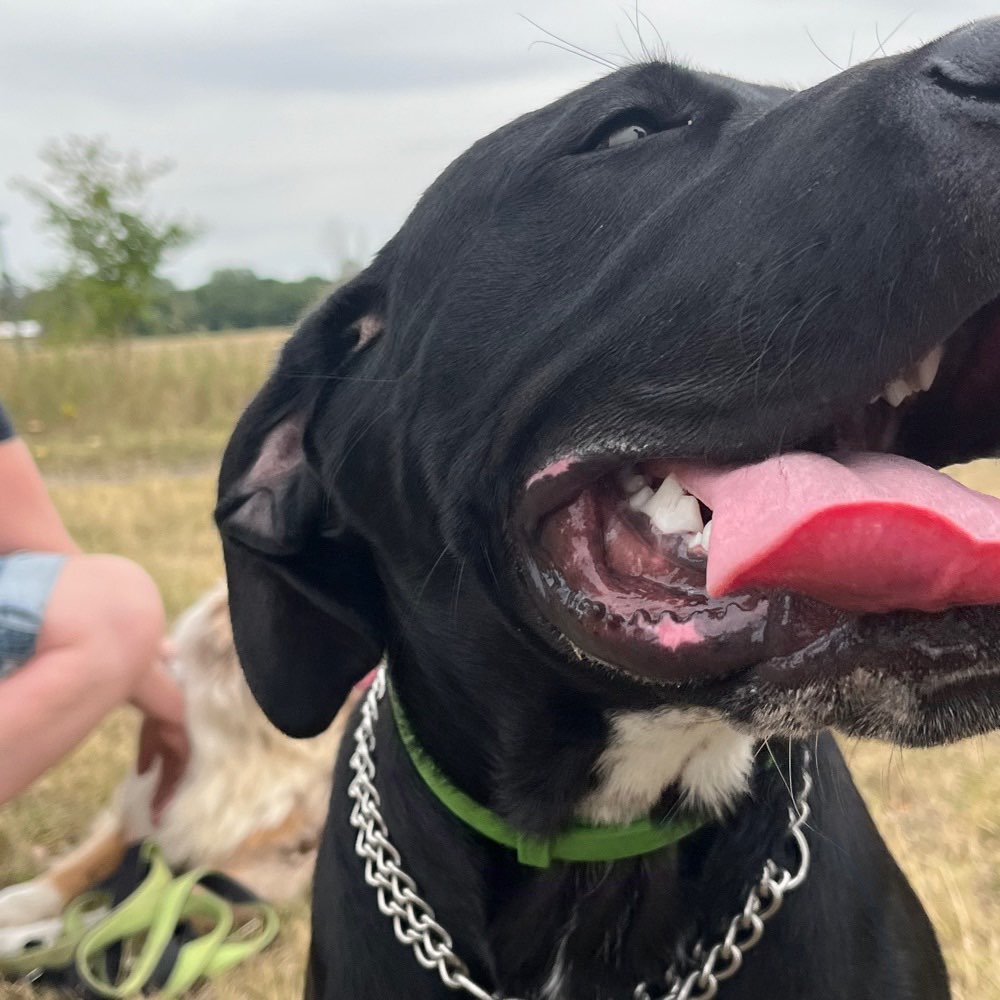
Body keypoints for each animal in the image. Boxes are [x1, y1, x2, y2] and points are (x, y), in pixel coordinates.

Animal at [0, 584, 360, 932]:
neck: (257, 741)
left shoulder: (248, 878)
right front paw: (17, 904)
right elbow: (78, 868)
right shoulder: (147, 807)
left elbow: (125, 913)